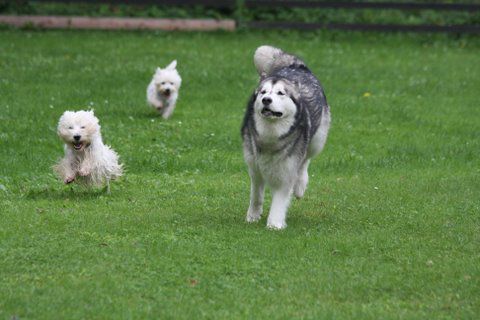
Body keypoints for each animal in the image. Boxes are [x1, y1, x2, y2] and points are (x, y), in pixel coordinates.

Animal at [240, 45, 330, 230]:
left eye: (280, 93)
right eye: (263, 92)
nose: (266, 100)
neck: (271, 134)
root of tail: (296, 66)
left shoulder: (287, 172)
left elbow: (279, 200)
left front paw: (274, 224)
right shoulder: (254, 168)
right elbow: (256, 196)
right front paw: (253, 216)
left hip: (317, 140)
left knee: (306, 160)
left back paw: (300, 185)